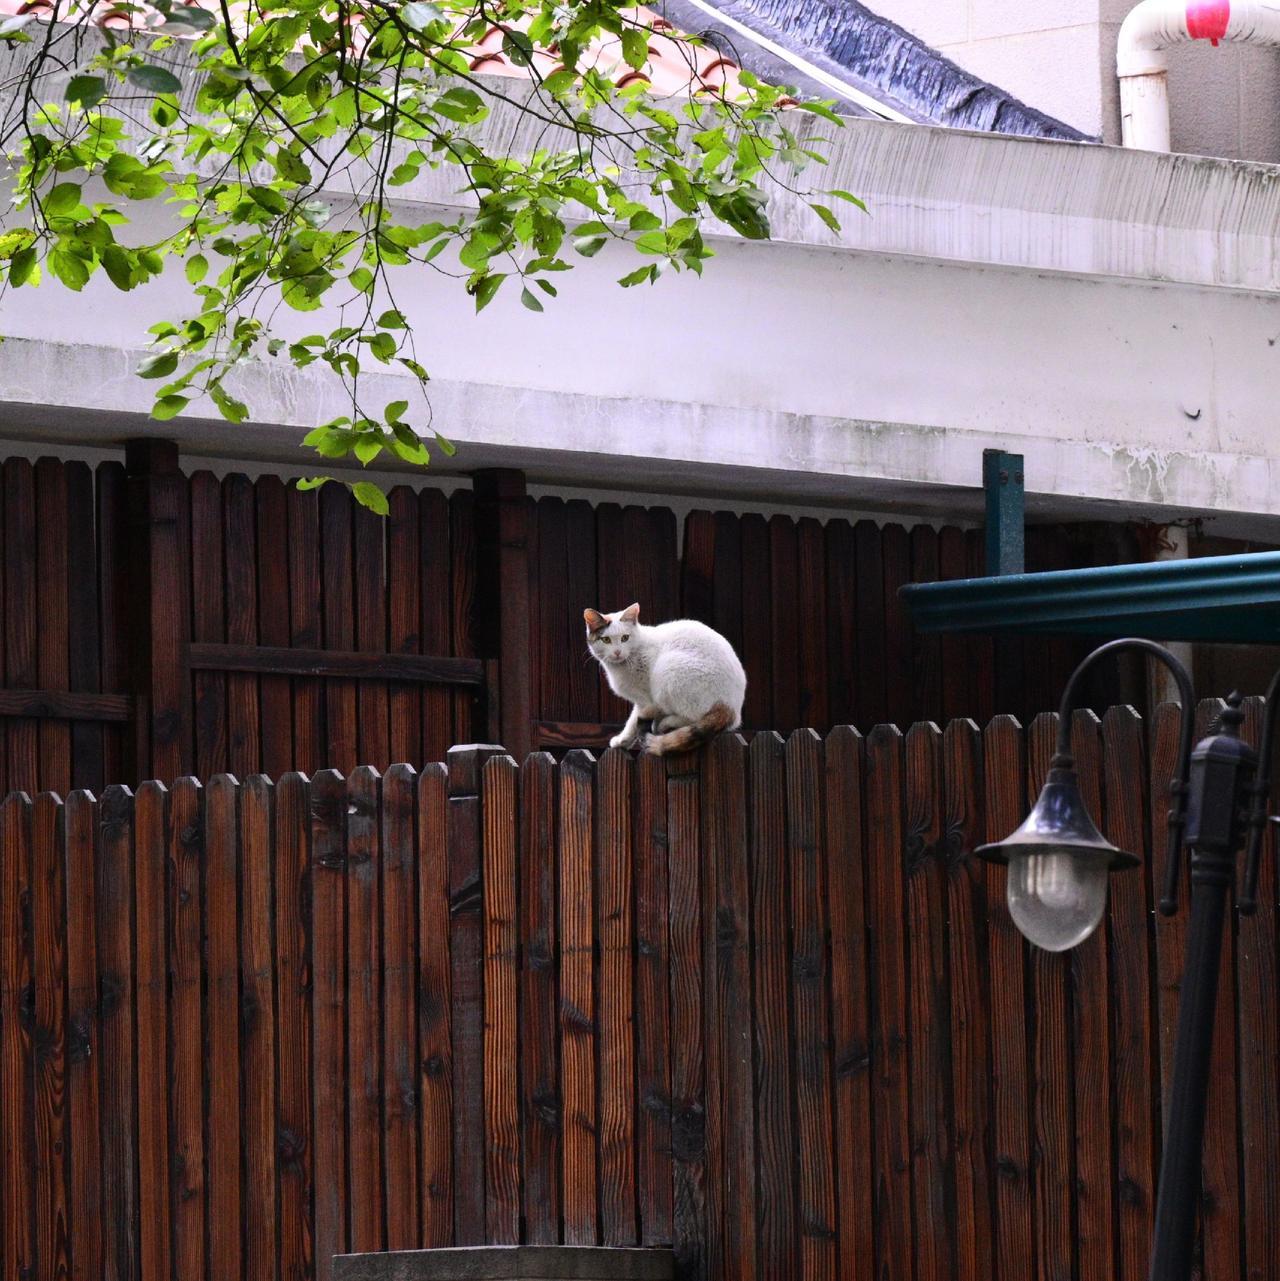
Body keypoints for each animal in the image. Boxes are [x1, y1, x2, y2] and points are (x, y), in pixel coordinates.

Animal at [584, 602, 748, 753]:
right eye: (606, 640)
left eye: (625, 638)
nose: (617, 652)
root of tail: (731, 709)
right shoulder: (641, 701)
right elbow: (632, 721)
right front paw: (623, 742)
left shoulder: (647, 700)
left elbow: (635, 720)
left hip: (667, 669)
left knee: (693, 717)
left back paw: (665, 723)